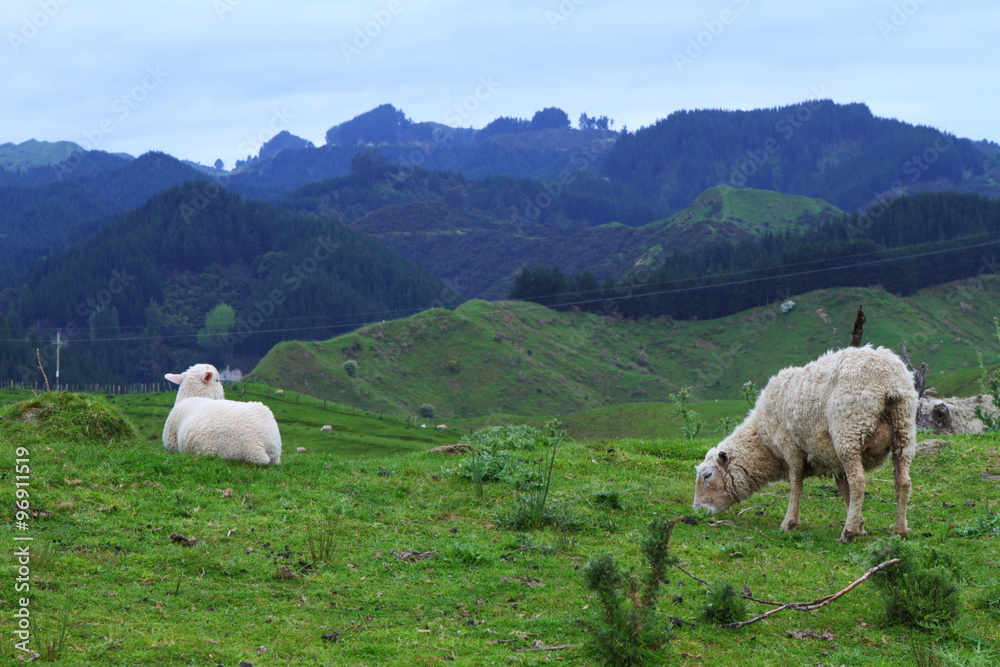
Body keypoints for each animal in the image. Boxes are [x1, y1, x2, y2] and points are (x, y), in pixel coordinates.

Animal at [693, 345, 917, 543]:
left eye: (707, 475)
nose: (697, 510)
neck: (763, 443)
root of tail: (888, 382)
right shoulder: (833, 459)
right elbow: (843, 488)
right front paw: (860, 524)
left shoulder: (790, 446)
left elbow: (796, 482)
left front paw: (789, 522)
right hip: (903, 430)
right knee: (903, 481)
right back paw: (899, 530)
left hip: (849, 429)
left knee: (859, 481)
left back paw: (848, 533)